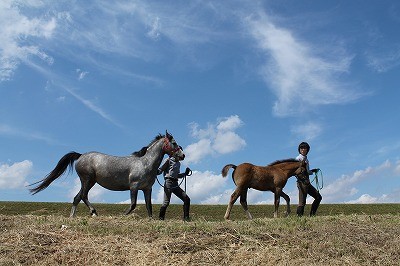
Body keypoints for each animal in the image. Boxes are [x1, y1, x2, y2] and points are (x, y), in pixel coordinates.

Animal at [29, 130, 184, 216]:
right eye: (174, 143)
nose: (182, 155)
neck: (145, 164)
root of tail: (80, 155)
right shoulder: (134, 187)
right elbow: (133, 204)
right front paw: (123, 215)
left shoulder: (147, 189)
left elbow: (149, 206)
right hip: (87, 179)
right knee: (83, 196)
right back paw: (93, 212)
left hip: (89, 181)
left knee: (77, 198)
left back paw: (73, 217)